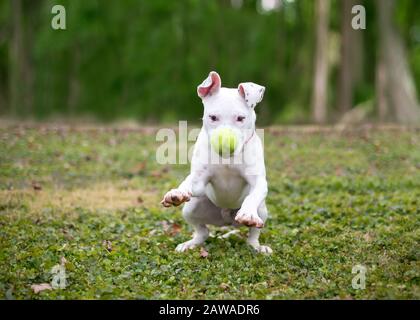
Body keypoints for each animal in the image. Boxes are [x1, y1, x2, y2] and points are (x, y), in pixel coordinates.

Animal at [161, 71, 272, 254]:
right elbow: (189, 182)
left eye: (240, 118)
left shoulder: (258, 182)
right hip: (191, 208)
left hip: (262, 211)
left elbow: (253, 195)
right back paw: (190, 244)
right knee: (202, 231)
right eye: (212, 117)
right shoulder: (199, 180)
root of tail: (226, 220)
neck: (227, 159)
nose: (224, 141)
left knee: (253, 234)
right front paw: (177, 192)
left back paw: (257, 246)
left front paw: (248, 214)